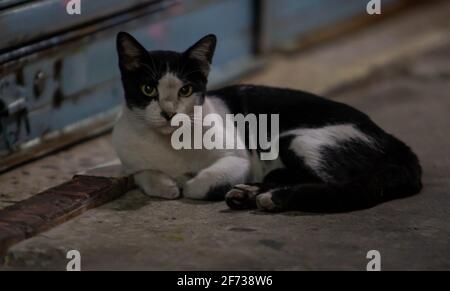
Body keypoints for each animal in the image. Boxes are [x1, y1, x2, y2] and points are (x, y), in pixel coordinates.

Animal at [112, 32, 422, 212]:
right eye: (148, 89)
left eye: (185, 91)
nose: (168, 113)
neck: (169, 144)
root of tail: (397, 143)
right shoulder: (132, 162)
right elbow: (145, 176)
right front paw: (168, 184)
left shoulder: (238, 159)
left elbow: (197, 185)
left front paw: (188, 182)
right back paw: (249, 193)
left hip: (293, 139)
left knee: (343, 187)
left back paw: (274, 197)